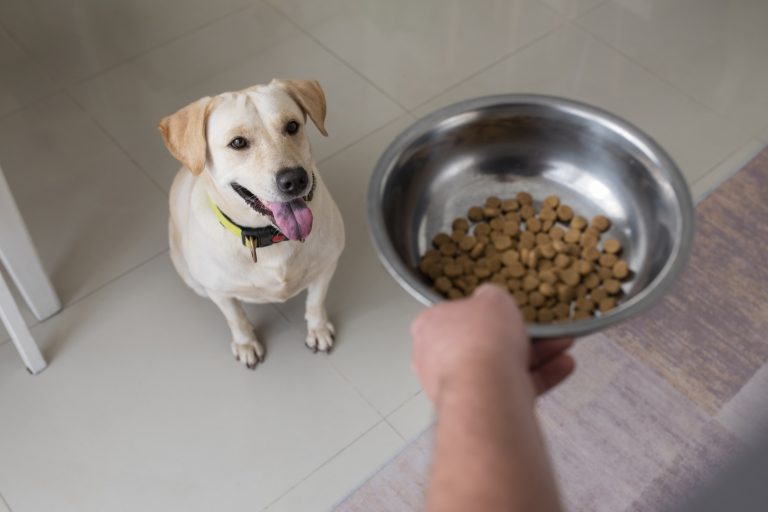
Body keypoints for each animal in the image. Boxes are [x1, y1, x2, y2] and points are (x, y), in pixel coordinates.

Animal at [158, 79, 344, 368]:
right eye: (238, 142)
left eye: (292, 126)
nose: (295, 179)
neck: (270, 236)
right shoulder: (219, 292)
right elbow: (236, 319)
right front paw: (246, 344)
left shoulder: (326, 266)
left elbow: (315, 302)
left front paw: (318, 329)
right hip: (191, 277)